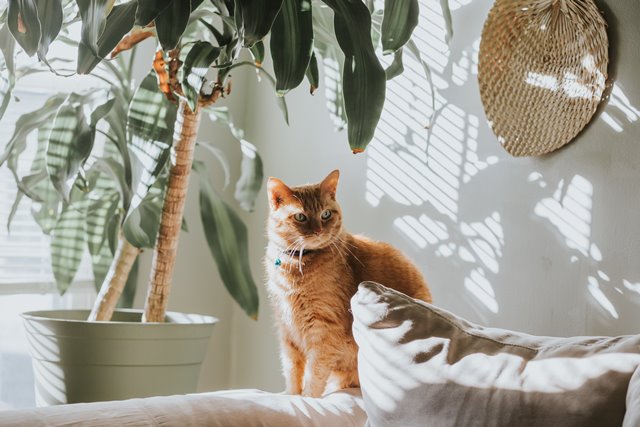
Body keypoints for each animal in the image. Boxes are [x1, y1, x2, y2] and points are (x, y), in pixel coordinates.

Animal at [262, 170, 432, 398]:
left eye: (326, 214)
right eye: (300, 216)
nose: (318, 231)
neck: (296, 263)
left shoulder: (324, 329)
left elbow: (314, 374)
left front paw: (307, 398)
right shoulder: (286, 329)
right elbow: (292, 370)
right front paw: (290, 395)